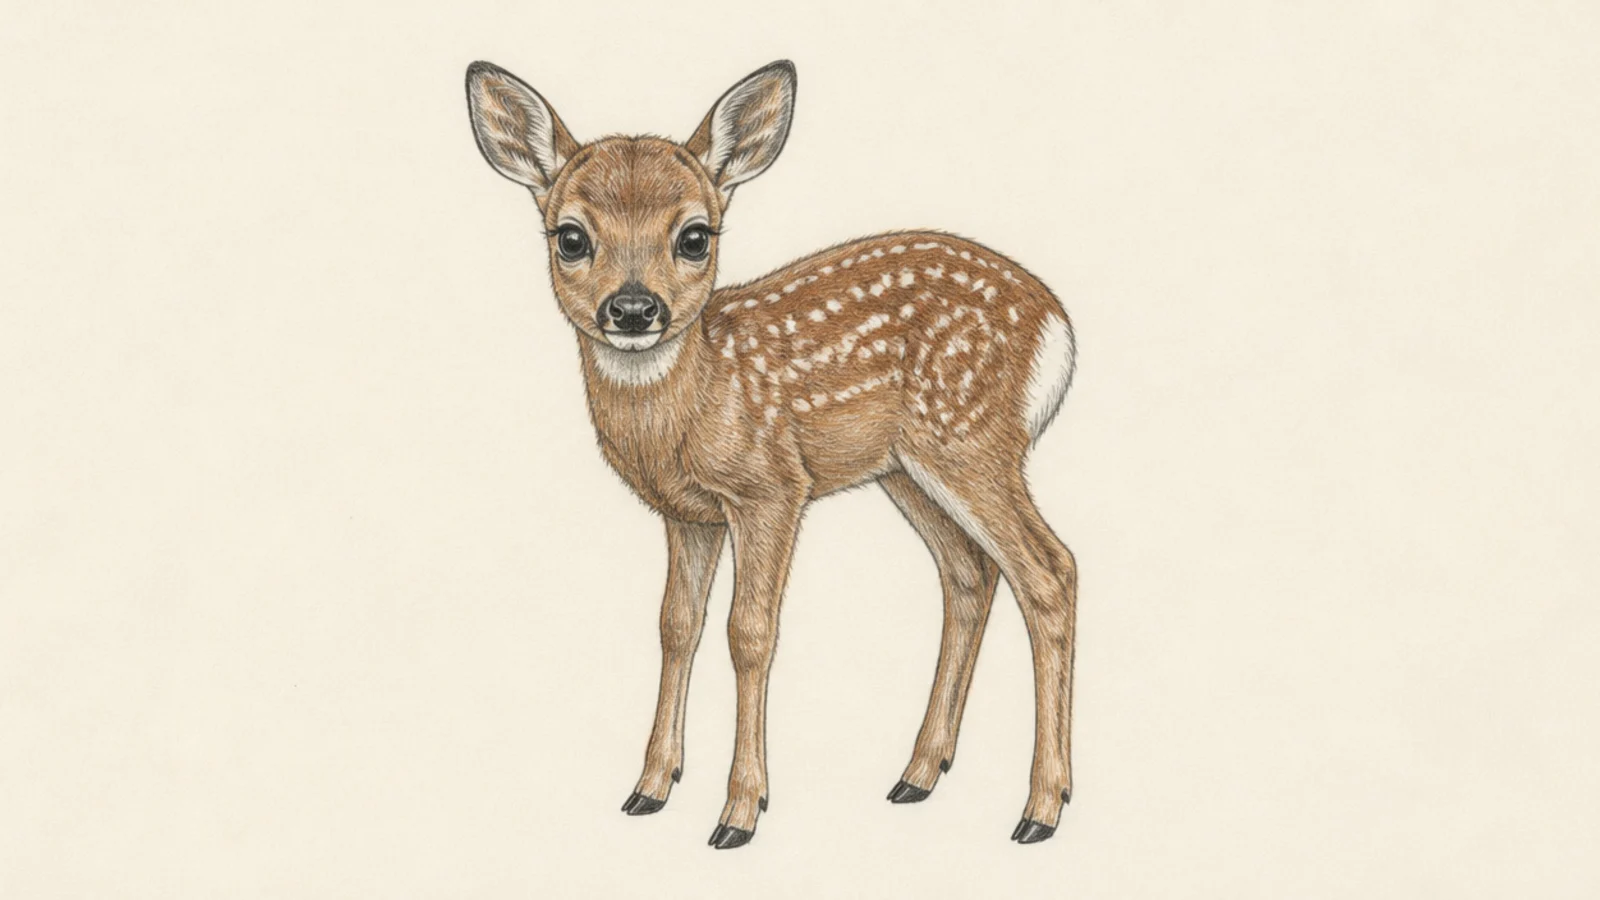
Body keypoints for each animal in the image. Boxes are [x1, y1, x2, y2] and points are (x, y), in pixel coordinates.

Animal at [465, 59, 1079, 849]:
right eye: (570, 236)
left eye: (695, 236)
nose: (633, 309)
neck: (693, 405)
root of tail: (1057, 324)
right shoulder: (689, 512)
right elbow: (676, 626)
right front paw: (651, 787)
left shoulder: (771, 488)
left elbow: (749, 633)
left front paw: (739, 812)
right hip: (908, 468)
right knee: (970, 574)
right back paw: (919, 774)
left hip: (972, 438)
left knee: (1050, 571)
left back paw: (1040, 808)